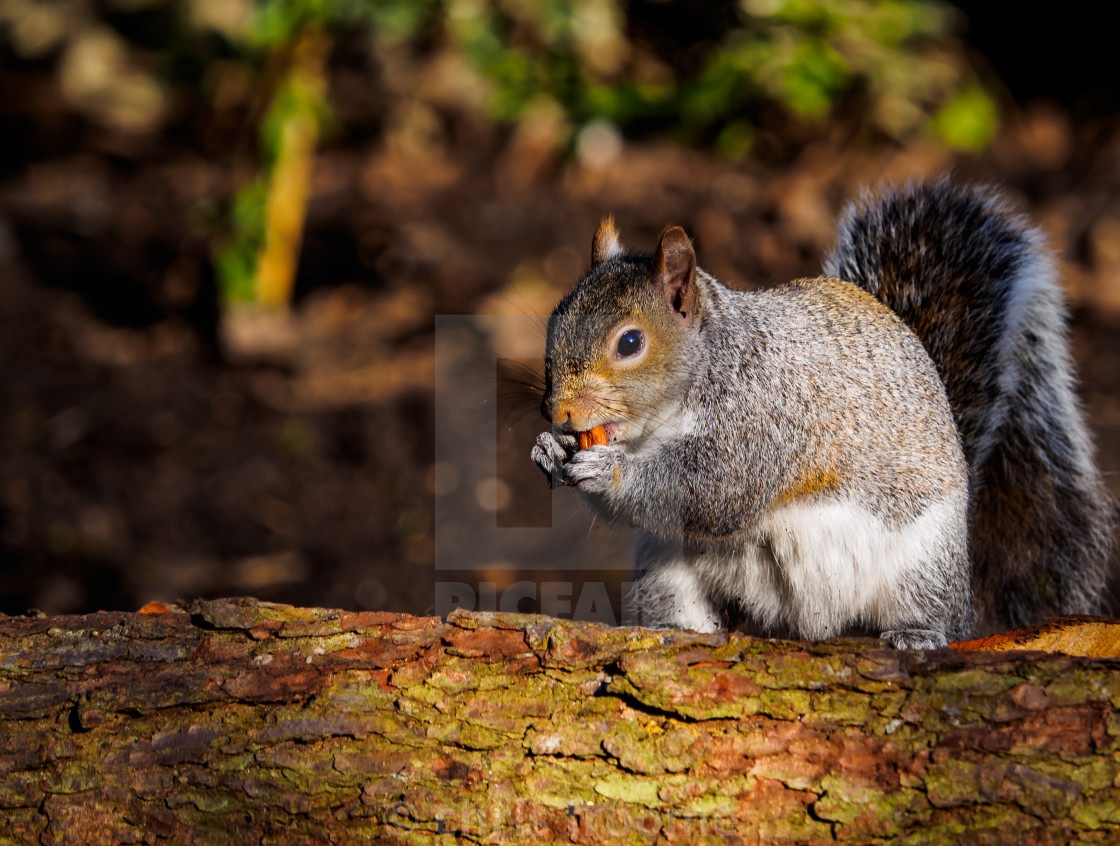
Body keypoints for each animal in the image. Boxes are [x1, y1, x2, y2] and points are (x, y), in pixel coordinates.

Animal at [530, 178, 1111, 649]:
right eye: (555, 320)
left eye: (630, 342)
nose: (559, 413)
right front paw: (550, 449)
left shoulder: (764, 418)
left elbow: (711, 490)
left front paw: (605, 470)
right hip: (664, 567)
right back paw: (678, 630)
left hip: (926, 562)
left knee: (935, 611)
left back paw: (921, 634)